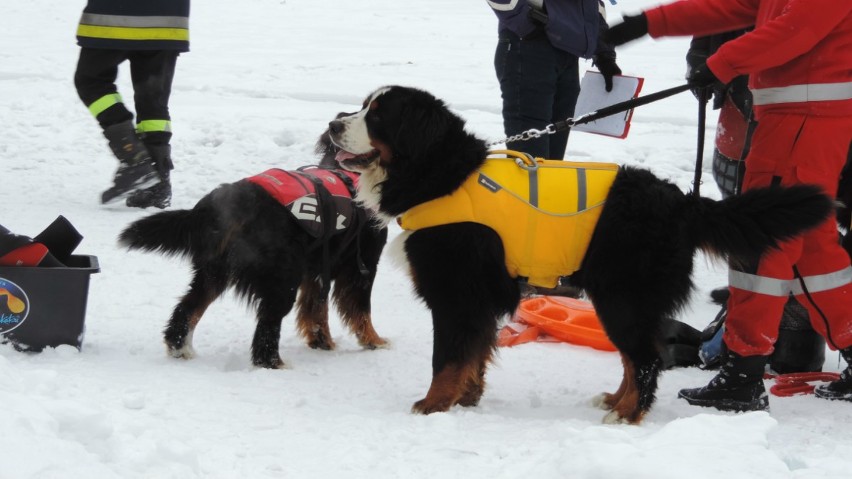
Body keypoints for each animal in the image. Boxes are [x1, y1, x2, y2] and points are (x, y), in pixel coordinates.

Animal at [117, 126, 390, 368]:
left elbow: (316, 312)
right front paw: (374, 342)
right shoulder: (361, 269)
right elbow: (361, 312)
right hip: (281, 280)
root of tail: (238, 197)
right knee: (266, 330)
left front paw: (322, 342)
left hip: (213, 273)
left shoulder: (317, 271)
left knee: (186, 310)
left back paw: (180, 349)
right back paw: (274, 364)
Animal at [330, 86, 836, 424]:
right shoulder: (478, 300)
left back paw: (628, 414)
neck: (441, 173)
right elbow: (474, 354)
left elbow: (447, 358)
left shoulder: (457, 294)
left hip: (622, 297)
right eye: (363, 106)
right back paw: (615, 400)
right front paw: (467, 399)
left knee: (646, 358)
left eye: (378, 115)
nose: (334, 122)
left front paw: (433, 405)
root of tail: (679, 200)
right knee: (636, 358)